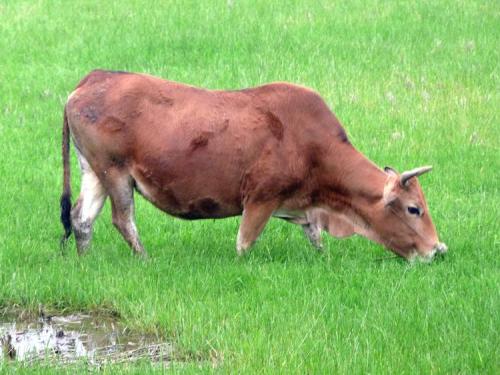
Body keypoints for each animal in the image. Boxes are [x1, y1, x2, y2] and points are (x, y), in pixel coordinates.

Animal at [60, 69, 448, 260]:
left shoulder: (302, 207)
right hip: (115, 173)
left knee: (81, 219)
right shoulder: (261, 199)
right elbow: (244, 244)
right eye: (414, 209)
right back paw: (144, 259)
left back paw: (85, 260)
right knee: (122, 220)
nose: (437, 250)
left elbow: (315, 236)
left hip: (94, 172)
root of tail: (92, 79)